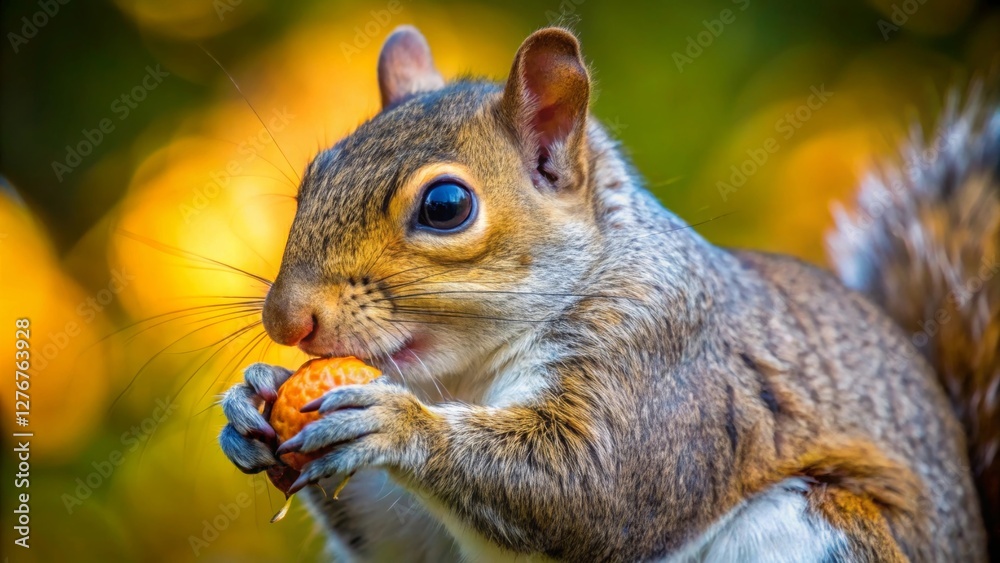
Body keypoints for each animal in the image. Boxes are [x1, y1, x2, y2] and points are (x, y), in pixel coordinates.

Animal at [218, 25, 999, 562]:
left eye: (445, 206)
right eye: (315, 174)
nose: (286, 318)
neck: (461, 379)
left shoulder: (663, 362)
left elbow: (594, 486)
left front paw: (395, 426)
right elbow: (398, 537)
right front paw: (249, 402)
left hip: (828, 524)